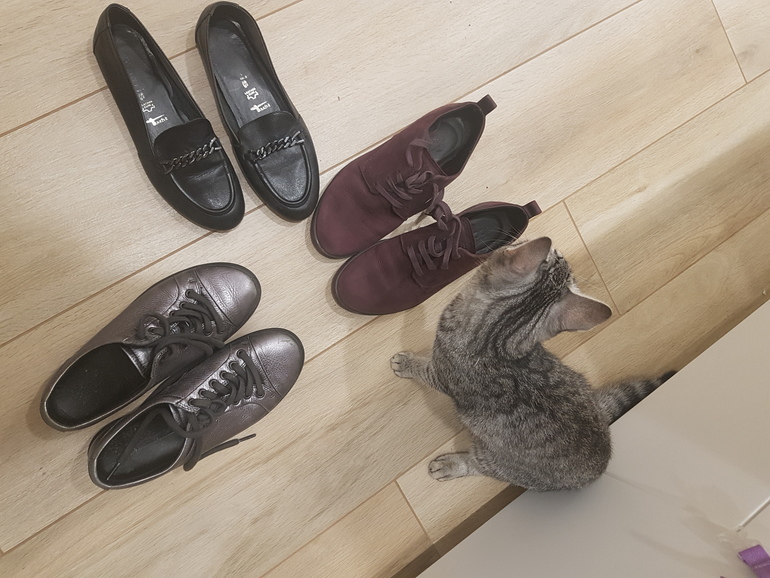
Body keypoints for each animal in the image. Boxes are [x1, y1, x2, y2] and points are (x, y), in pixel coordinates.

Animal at [391, 237, 673, 491]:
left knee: (479, 465)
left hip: (497, 462)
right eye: (558, 257)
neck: (496, 338)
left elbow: (424, 369)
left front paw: (405, 363)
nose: (561, 250)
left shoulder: (441, 372)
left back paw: (448, 465)